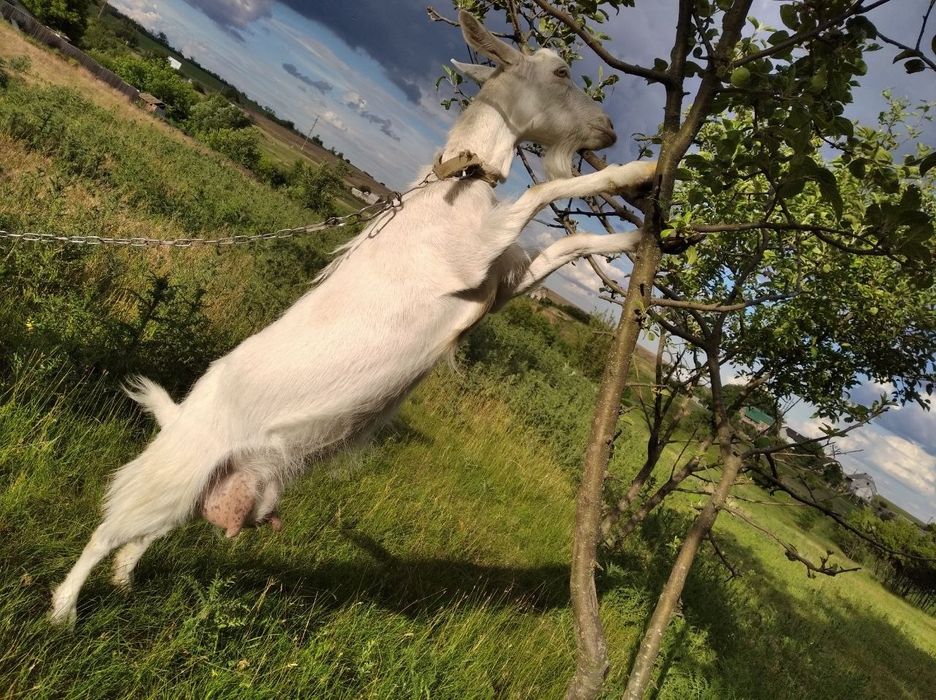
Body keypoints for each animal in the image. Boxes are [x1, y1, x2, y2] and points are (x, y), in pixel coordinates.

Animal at [49, 11, 656, 627]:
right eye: (559, 72)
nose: (608, 128)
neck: (459, 183)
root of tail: (178, 418)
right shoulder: (472, 257)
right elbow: (545, 191)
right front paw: (639, 170)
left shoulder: (498, 287)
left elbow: (569, 244)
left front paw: (638, 240)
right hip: (172, 473)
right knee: (108, 528)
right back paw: (63, 611)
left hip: (202, 489)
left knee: (144, 536)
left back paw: (125, 583)